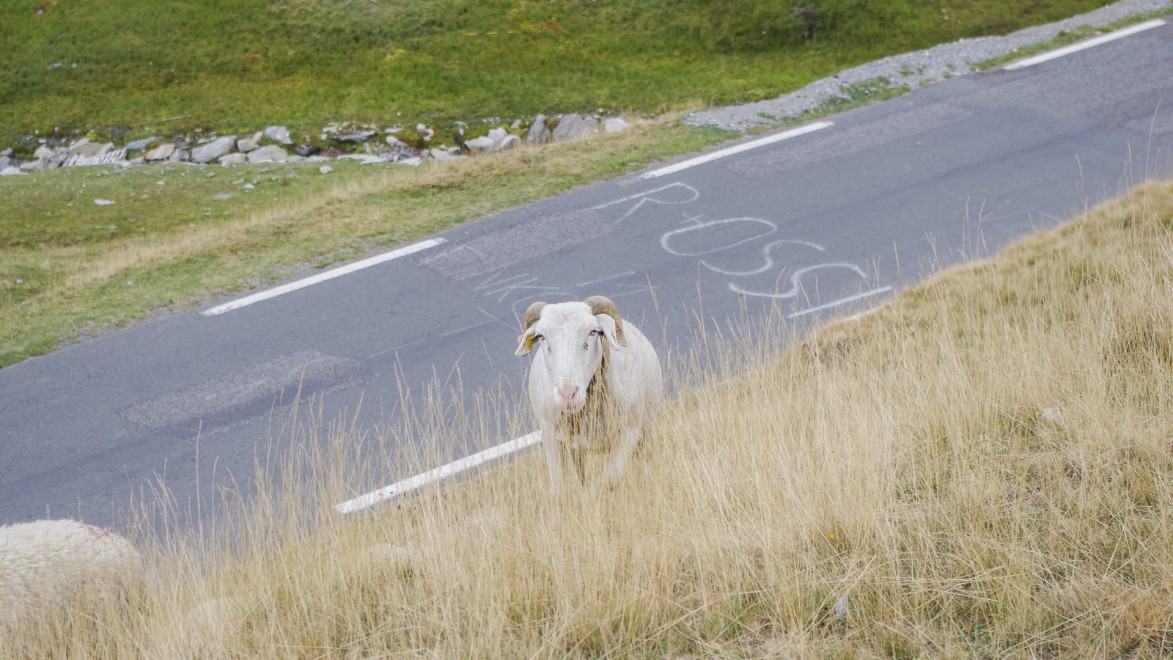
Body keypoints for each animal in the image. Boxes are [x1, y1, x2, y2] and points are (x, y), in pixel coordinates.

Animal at [515, 295, 663, 493]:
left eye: (593, 332)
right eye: (541, 336)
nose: (568, 394)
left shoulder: (630, 431)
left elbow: (608, 480)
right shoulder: (550, 435)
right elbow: (559, 486)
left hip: (645, 430)